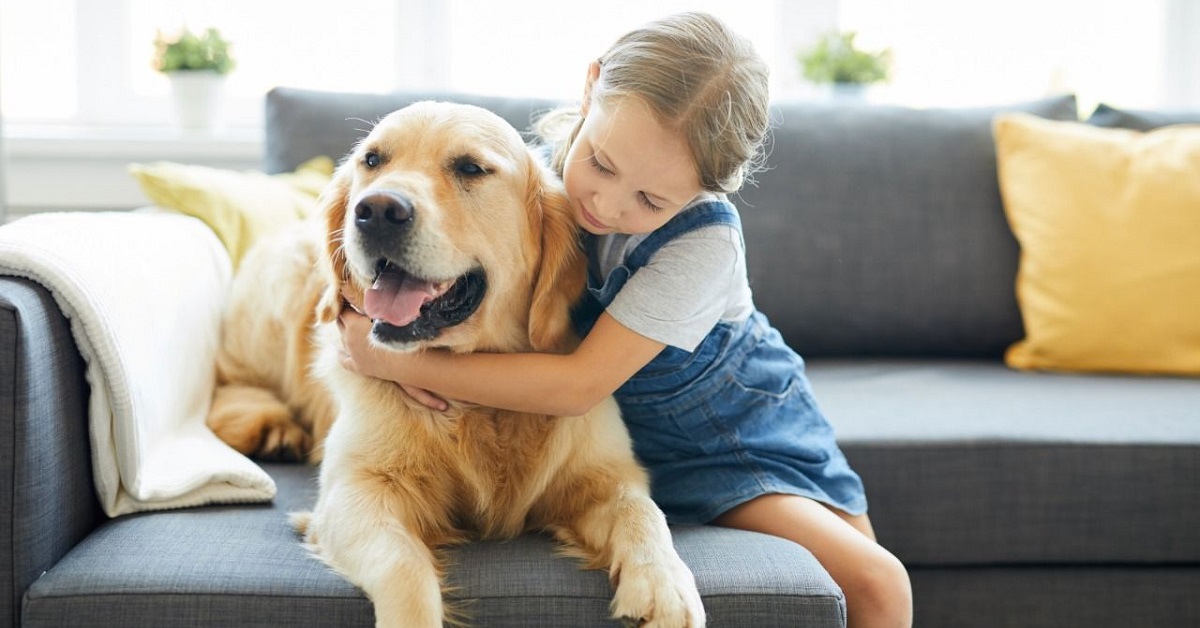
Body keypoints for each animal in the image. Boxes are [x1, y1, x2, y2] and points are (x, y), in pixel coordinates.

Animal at [212, 104, 705, 628]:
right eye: (372, 160)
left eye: (470, 168)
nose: (376, 210)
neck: (481, 399)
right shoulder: (355, 490)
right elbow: (403, 566)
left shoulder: (605, 472)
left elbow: (643, 511)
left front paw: (666, 587)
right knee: (230, 380)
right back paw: (271, 425)